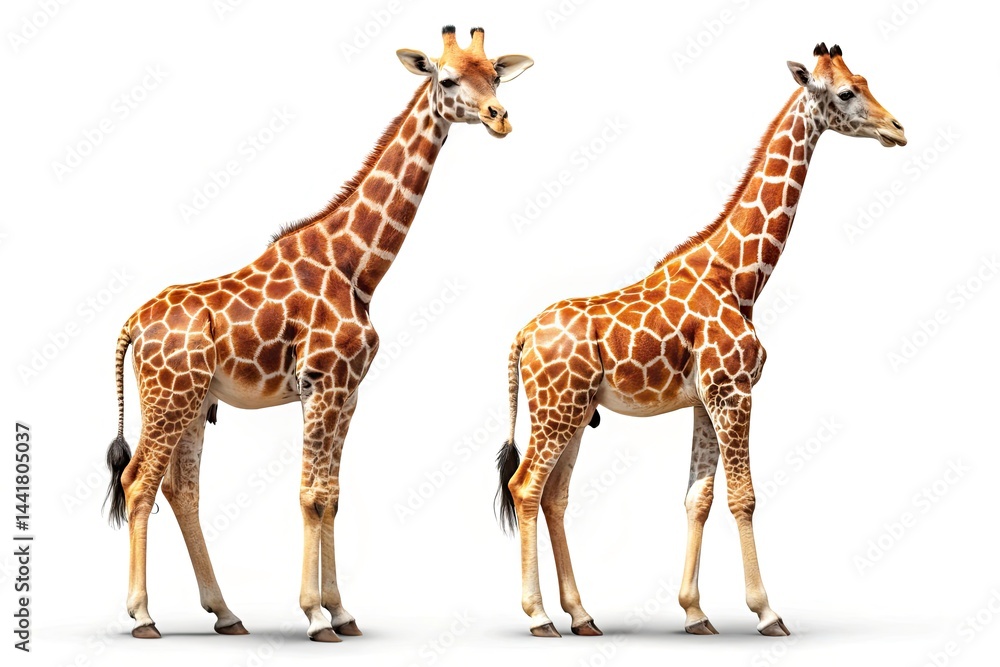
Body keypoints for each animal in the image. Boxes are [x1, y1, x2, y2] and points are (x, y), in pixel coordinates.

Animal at [102, 26, 533, 641]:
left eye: (495, 75)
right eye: (447, 79)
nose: (500, 117)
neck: (358, 267)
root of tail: (132, 324)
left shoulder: (348, 392)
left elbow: (331, 496)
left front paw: (342, 612)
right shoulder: (322, 384)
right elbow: (310, 496)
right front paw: (312, 616)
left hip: (193, 401)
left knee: (180, 490)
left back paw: (226, 613)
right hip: (168, 396)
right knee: (138, 481)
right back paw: (142, 616)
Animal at [495, 43, 905, 638]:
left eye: (866, 79)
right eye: (847, 93)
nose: (898, 129)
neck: (739, 276)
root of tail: (522, 336)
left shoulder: (703, 398)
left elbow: (699, 497)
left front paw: (694, 611)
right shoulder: (733, 391)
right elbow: (743, 496)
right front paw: (767, 611)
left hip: (574, 410)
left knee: (554, 496)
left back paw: (582, 614)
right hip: (557, 407)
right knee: (526, 487)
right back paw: (539, 616)